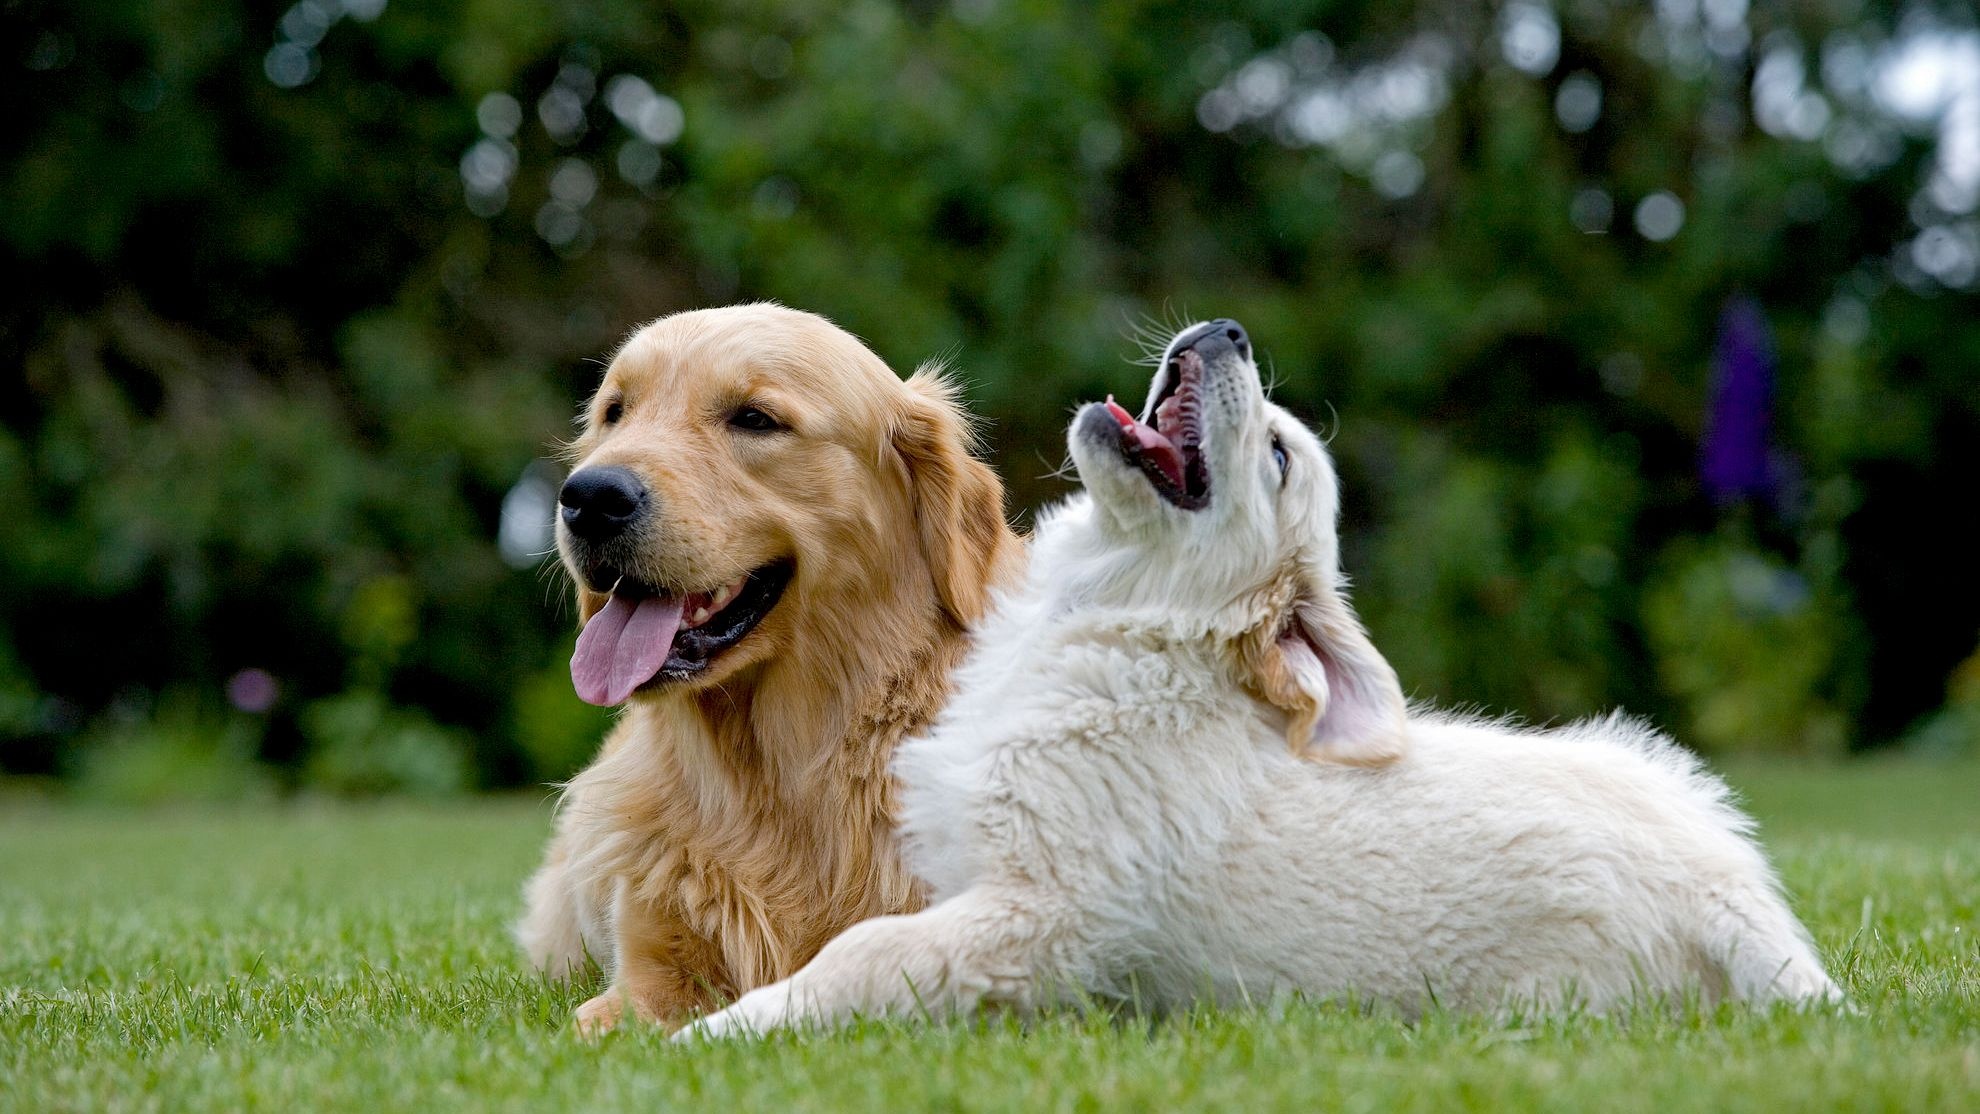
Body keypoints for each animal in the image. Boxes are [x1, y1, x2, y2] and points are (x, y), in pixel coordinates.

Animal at [681, 318, 1837, 1044]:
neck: (1120, 624)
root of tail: (1741, 908)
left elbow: (862, 954)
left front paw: (715, 1032)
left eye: (1277, 458)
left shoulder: (1037, 916)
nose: (1229, 330)